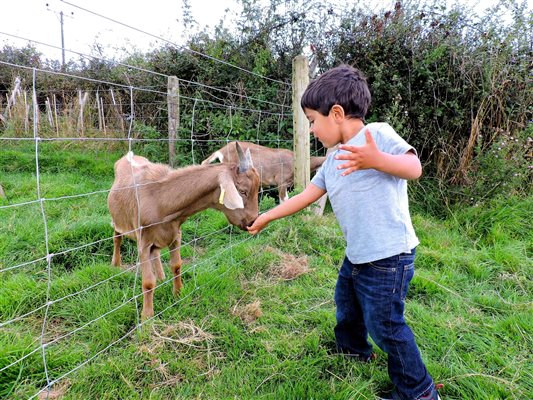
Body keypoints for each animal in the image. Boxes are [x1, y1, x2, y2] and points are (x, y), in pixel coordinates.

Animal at [107, 142, 258, 320]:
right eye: (242, 191)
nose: (252, 221)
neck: (160, 200)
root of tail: (128, 156)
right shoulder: (143, 242)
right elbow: (148, 282)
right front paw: (147, 316)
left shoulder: (175, 235)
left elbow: (176, 266)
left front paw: (178, 294)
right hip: (118, 220)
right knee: (117, 238)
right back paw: (116, 264)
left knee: (156, 253)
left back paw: (161, 275)